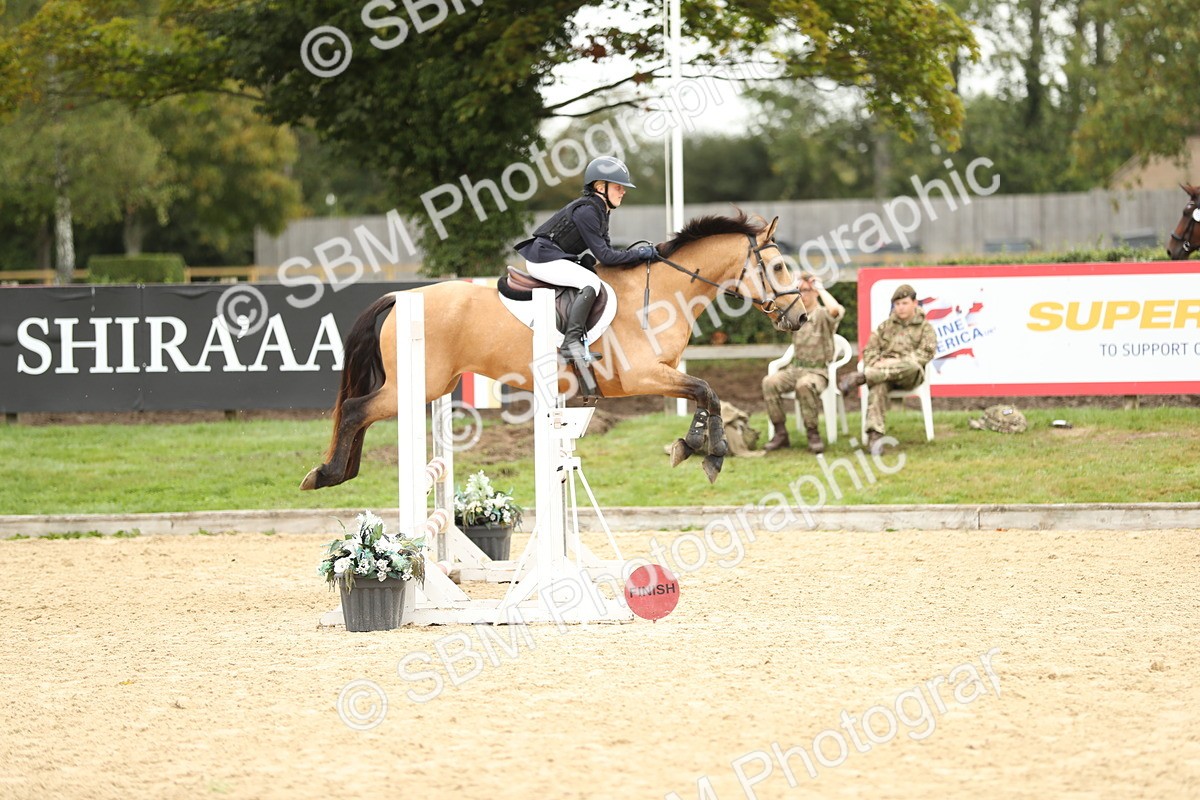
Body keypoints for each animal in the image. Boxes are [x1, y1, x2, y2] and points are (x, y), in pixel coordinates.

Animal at [300, 211, 807, 490]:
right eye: (780, 266)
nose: (801, 318)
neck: (663, 291)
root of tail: (400, 297)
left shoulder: (663, 373)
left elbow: (707, 394)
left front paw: (696, 446)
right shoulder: (643, 376)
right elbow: (706, 389)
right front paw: (710, 452)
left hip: (432, 384)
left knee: (360, 412)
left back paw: (341, 471)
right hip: (417, 386)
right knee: (356, 409)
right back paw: (327, 474)